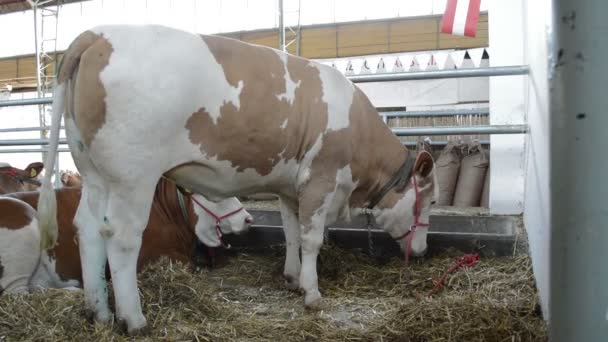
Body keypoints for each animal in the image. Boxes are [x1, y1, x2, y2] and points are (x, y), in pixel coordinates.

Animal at [0, 176, 252, 294]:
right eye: (217, 194)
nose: (248, 219)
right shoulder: (150, 258)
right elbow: (190, 266)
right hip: (24, 223)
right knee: (16, 293)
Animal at [38, 24, 436, 334]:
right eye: (430, 200)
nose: (421, 251)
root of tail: (97, 34)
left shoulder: (289, 188)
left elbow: (291, 233)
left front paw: (292, 279)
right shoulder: (320, 180)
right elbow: (311, 239)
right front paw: (312, 293)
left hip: (93, 172)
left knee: (88, 228)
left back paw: (99, 312)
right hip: (134, 175)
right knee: (120, 237)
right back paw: (133, 319)